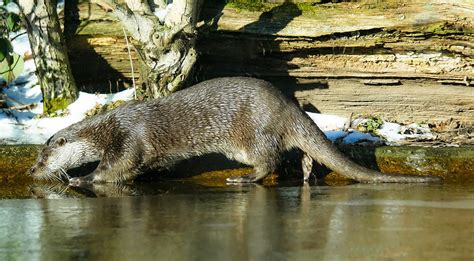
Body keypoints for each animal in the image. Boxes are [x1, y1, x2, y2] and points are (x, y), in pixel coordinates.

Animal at [29, 76, 442, 184]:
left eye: (43, 156)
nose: (32, 170)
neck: (107, 129)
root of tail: (288, 107)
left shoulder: (127, 139)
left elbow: (116, 169)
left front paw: (81, 179)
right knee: (297, 150)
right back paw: (307, 170)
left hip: (250, 136)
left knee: (269, 161)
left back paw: (244, 179)